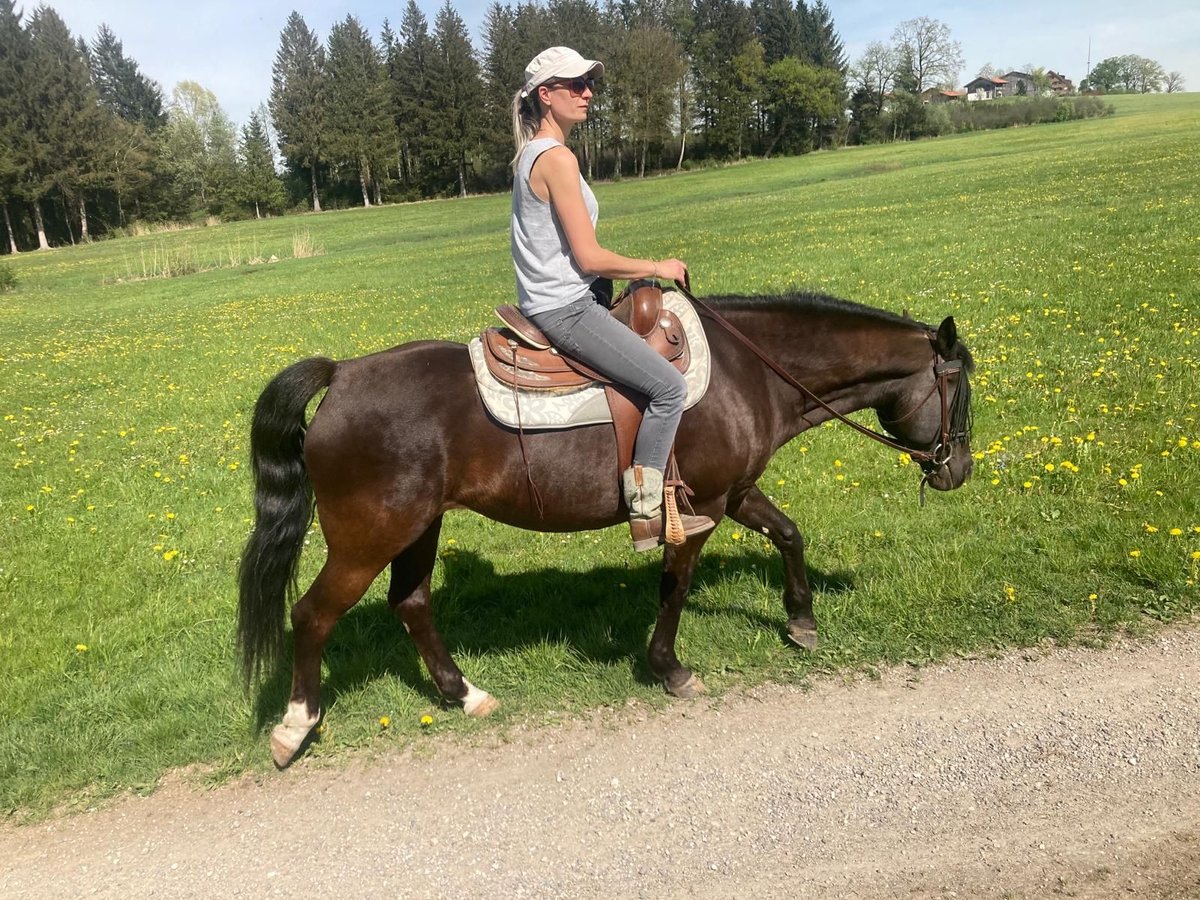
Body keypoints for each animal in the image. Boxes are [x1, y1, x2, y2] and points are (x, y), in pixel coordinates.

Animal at [237, 289, 975, 767]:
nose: (959, 469)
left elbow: (789, 534)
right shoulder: (703, 505)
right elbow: (675, 587)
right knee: (312, 615)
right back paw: (295, 727)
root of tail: (343, 376)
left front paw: (801, 622)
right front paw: (670, 669)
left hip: (419, 528)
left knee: (411, 603)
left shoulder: (735, 492)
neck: (749, 371)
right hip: (368, 538)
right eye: (961, 390)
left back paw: (465, 694)